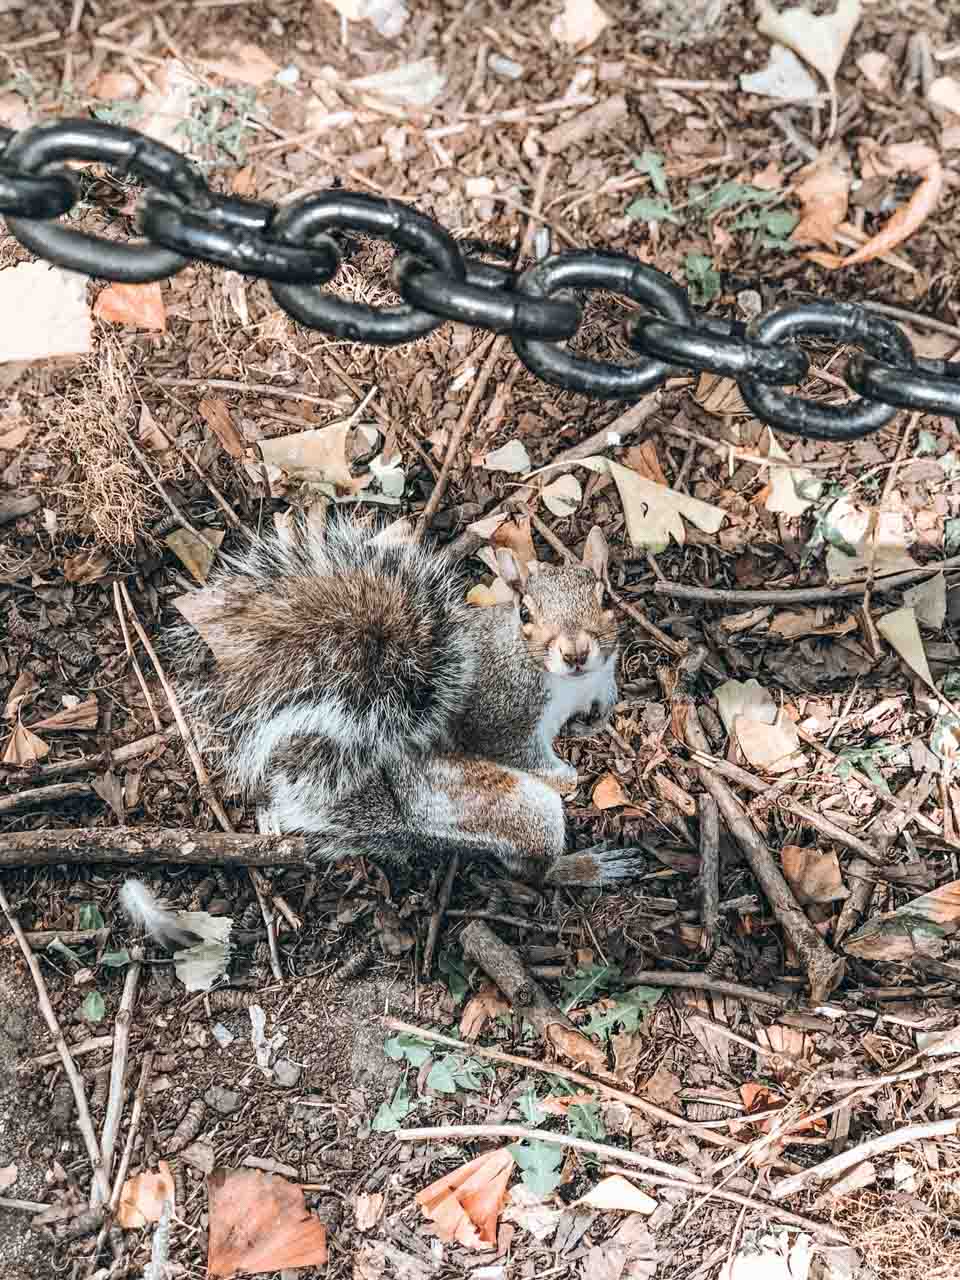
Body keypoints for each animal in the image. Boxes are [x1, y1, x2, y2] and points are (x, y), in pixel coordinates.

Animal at [172, 514, 640, 885]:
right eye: (525, 612)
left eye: (605, 597)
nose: (576, 653)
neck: (569, 683)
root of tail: (405, 817)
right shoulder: (502, 711)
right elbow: (516, 750)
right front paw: (565, 776)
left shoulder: (601, 673)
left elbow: (604, 693)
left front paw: (601, 717)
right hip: (503, 807)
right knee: (528, 870)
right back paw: (584, 868)